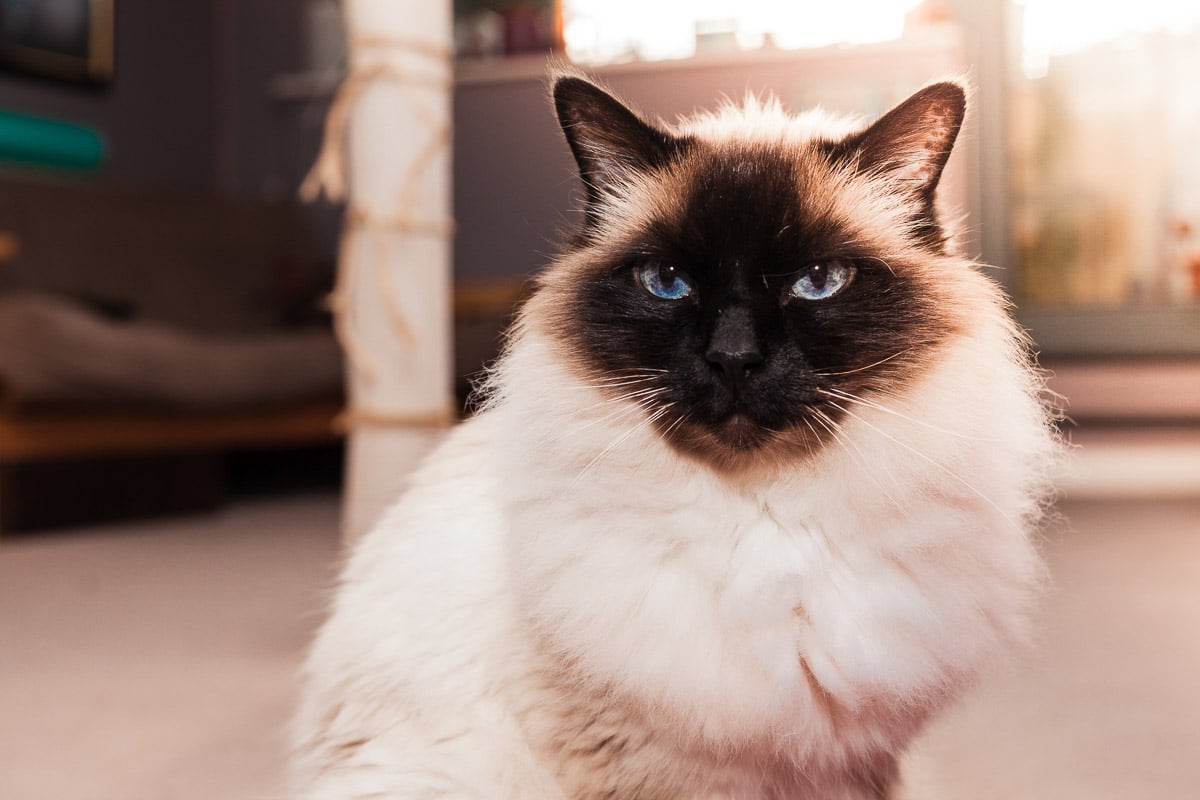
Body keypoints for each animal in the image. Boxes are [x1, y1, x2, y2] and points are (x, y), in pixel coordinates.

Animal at [292, 71, 1060, 796]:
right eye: (667, 282)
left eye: (818, 281)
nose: (734, 357)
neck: (767, 526)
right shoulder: (653, 766)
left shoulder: (854, 764)